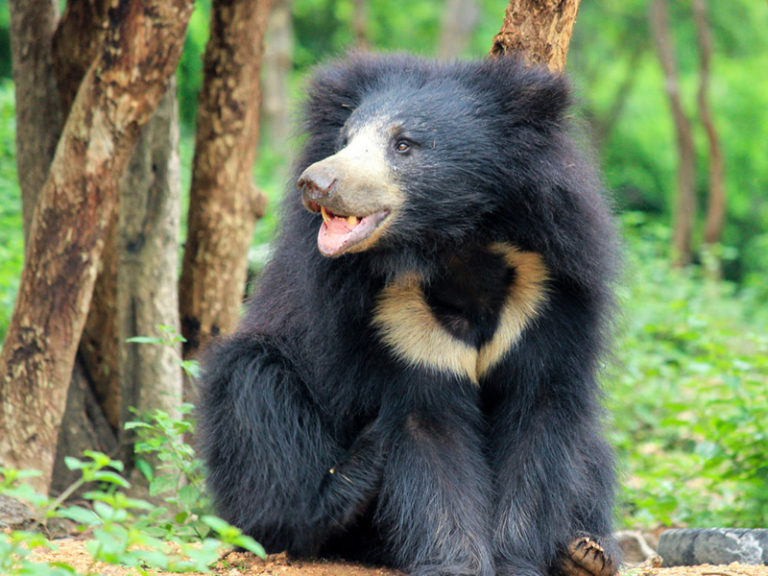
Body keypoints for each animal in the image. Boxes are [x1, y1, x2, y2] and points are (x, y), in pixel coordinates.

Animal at [200, 54, 624, 576]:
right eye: (345, 139)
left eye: (404, 144)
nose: (316, 182)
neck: (455, 249)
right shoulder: (395, 322)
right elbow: (429, 432)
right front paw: (457, 564)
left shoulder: (547, 290)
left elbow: (537, 419)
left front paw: (519, 561)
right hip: (271, 376)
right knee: (256, 398)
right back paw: (348, 482)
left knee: (592, 453)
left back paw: (586, 550)